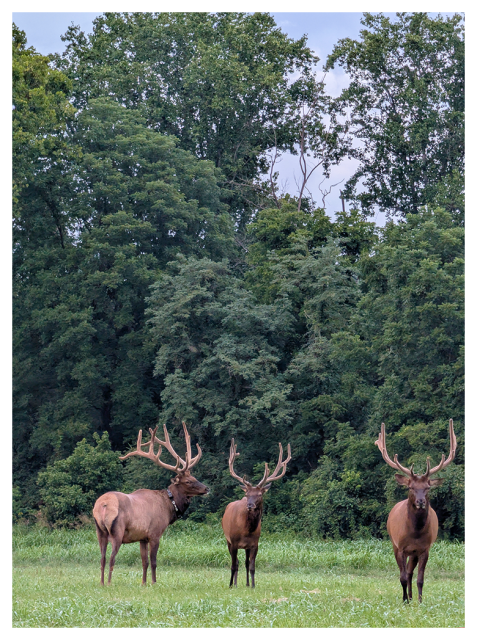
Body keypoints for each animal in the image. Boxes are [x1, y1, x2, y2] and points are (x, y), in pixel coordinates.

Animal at [92, 422, 208, 586]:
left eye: (194, 477)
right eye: (188, 481)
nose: (206, 488)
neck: (168, 506)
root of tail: (102, 505)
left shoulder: (142, 537)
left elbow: (144, 562)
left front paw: (143, 583)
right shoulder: (155, 533)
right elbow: (153, 562)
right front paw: (154, 582)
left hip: (99, 531)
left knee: (102, 559)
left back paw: (102, 583)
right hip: (117, 531)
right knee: (111, 558)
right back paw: (109, 583)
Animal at [221, 438, 291, 588]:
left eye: (259, 494)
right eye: (247, 494)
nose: (250, 505)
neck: (246, 530)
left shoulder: (255, 544)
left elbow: (252, 566)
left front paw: (253, 585)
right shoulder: (233, 542)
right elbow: (233, 565)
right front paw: (230, 585)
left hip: (246, 547)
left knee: (246, 563)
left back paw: (246, 584)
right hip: (228, 540)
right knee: (236, 563)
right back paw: (235, 584)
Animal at [375, 419, 457, 603]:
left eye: (427, 487)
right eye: (411, 487)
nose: (420, 502)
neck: (415, 532)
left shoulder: (424, 549)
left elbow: (420, 578)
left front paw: (419, 601)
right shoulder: (400, 547)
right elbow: (402, 577)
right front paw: (404, 600)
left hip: (414, 553)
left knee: (411, 572)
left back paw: (412, 597)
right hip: (394, 544)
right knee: (406, 573)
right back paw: (408, 598)